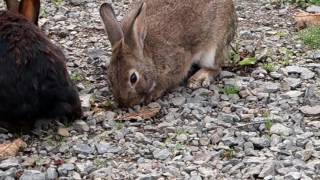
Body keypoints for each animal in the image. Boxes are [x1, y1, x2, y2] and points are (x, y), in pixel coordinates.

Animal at [100, 0, 238, 107]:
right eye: (110, 77)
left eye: (133, 78)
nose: (125, 103)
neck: (149, 55)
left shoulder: (177, 64)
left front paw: (153, 94)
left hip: (213, 48)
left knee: (216, 67)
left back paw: (198, 79)